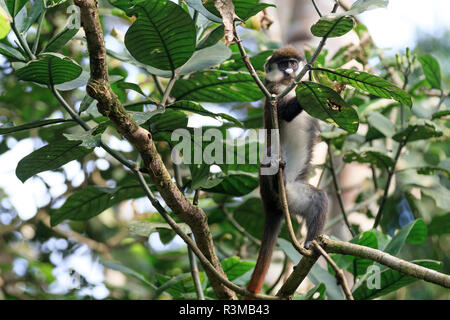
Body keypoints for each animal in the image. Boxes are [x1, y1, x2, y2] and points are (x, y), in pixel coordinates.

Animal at [246, 45, 326, 296]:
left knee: (319, 198)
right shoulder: (273, 94)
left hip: (294, 197)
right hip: (274, 186)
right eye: (283, 64)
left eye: (293, 62)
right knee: (269, 157)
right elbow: (285, 112)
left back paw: (311, 243)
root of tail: (271, 206)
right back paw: (275, 173)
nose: (290, 70)